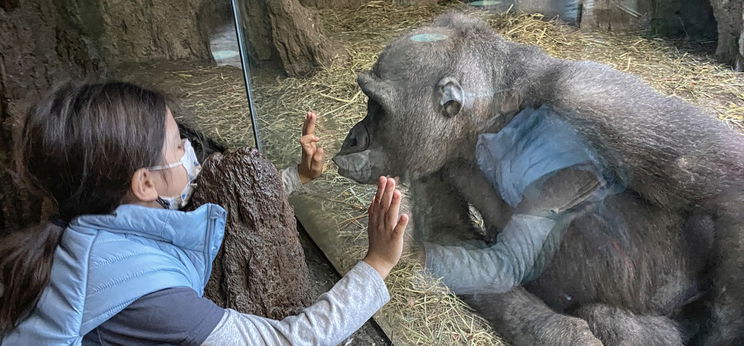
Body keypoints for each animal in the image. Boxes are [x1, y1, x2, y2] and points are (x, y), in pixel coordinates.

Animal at [334, 11, 744, 346]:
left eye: (377, 106)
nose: (353, 138)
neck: (494, 115)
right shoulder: (433, 156)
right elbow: (449, 235)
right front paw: (563, 334)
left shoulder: (594, 96)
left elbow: (729, 189)